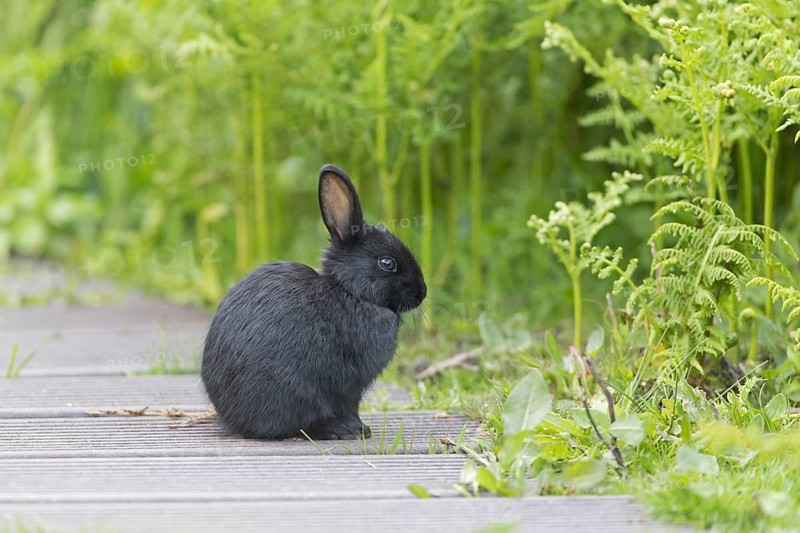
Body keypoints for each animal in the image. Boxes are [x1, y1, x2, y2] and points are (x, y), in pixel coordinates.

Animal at [201, 164, 427, 440]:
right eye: (387, 263)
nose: (422, 292)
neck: (349, 290)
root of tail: (235, 420)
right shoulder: (350, 385)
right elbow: (349, 405)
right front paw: (359, 428)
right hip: (297, 391)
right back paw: (338, 429)